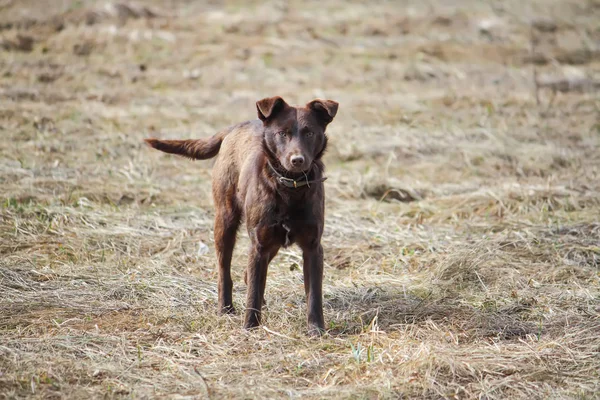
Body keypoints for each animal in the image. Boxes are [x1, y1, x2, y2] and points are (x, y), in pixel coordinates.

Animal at [143, 97, 336, 334]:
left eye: (310, 133)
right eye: (282, 133)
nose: (297, 160)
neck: (290, 186)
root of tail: (233, 128)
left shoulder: (312, 247)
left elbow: (314, 294)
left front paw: (316, 328)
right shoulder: (258, 245)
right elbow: (252, 292)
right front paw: (250, 327)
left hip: (270, 241)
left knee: (249, 274)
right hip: (225, 222)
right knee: (224, 271)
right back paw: (225, 307)